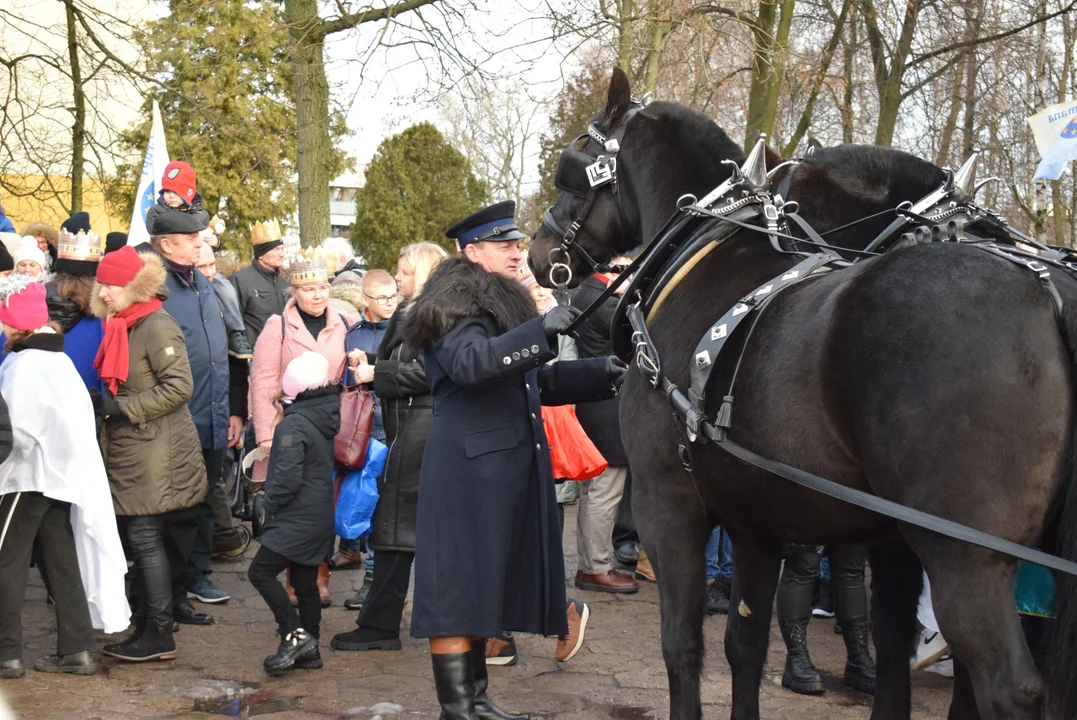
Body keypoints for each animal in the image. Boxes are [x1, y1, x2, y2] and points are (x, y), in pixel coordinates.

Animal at [527, 67, 1077, 718]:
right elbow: (752, 644)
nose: (539, 255)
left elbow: (683, 648)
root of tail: (1048, 289)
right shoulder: (764, 522)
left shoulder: (671, 503)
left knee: (1004, 685)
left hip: (964, 552)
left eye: (571, 165)